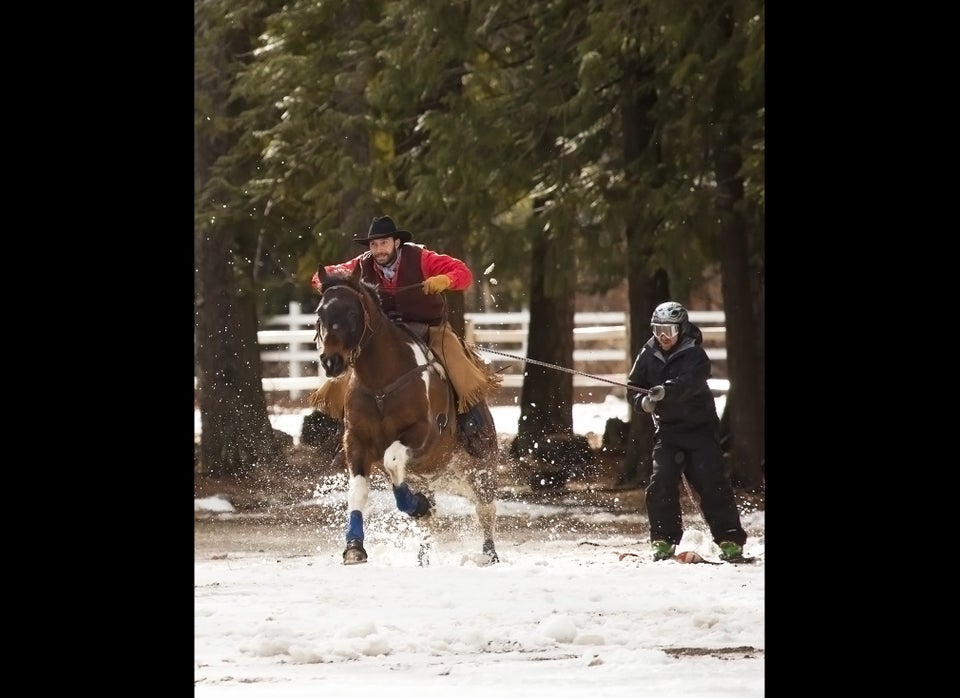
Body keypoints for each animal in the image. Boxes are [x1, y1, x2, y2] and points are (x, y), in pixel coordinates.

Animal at [316, 264, 502, 564]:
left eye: (353, 313)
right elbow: (358, 492)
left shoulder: (423, 433)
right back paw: (423, 555)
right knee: (431, 516)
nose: (330, 361)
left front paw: (416, 505)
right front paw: (354, 546)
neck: (381, 384)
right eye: (320, 313)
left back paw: (489, 554)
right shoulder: (356, 442)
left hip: (480, 467)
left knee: (485, 508)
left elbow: (392, 460)